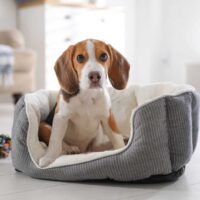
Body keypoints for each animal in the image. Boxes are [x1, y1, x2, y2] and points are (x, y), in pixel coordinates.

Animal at [38, 39, 130, 167]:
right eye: (80, 58)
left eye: (104, 56)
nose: (95, 76)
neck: (88, 94)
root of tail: (83, 150)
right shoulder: (60, 117)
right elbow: (55, 140)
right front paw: (48, 158)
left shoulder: (108, 117)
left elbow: (116, 137)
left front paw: (121, 149)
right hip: (43, 126)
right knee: (60, 143)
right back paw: (70, 149)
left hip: (97, 136)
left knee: (96, 147)